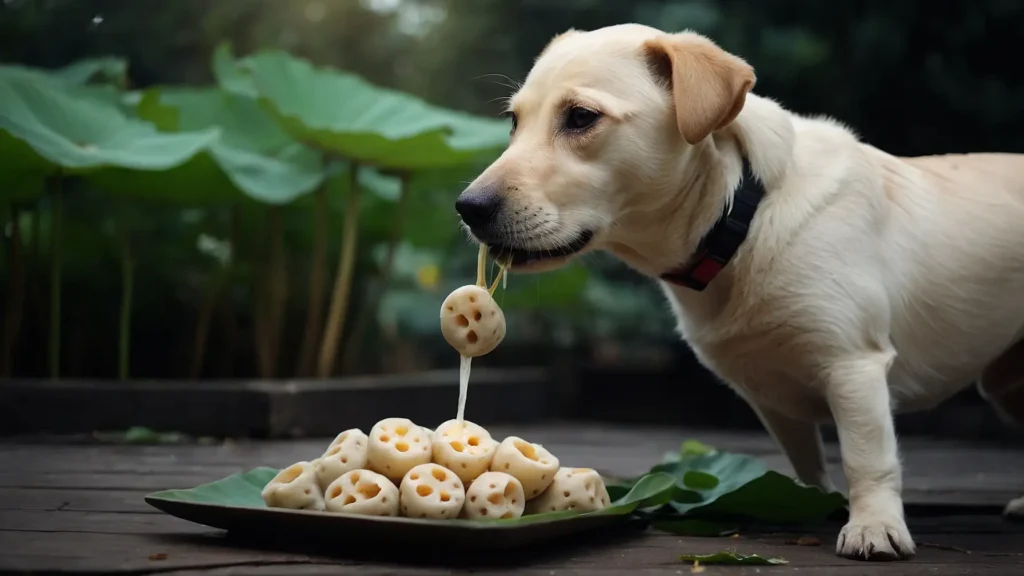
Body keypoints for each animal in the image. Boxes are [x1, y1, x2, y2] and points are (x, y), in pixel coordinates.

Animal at [454, 24, 1024, 557]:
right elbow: (807, 466)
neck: (742, 215)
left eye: (580, 117)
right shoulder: (774, 399)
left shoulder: (854, 365)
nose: (469, 207)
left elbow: (867, 457)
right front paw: (818, 505)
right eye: (514, 121)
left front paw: (873, 526)